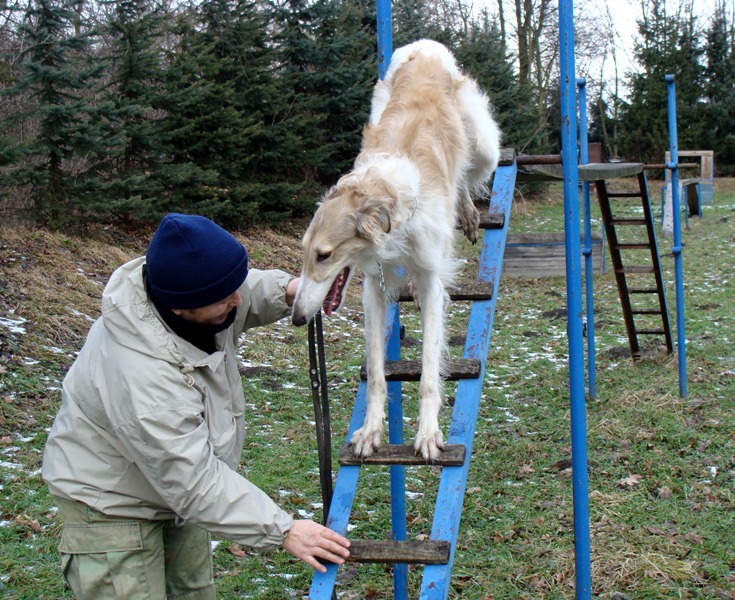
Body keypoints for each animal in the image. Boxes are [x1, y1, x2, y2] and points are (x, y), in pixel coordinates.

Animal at [290, 39, 504, 462]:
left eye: (324, 255)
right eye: (305, 253)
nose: (297, 318)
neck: (390, 203)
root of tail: (424, 46)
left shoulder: (433, 279)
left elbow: (428, 370)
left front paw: (428, 433)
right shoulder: (374, 289)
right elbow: (376, 371)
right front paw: (371, 431)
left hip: (486, 145)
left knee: (467, 176)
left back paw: (468, 211)